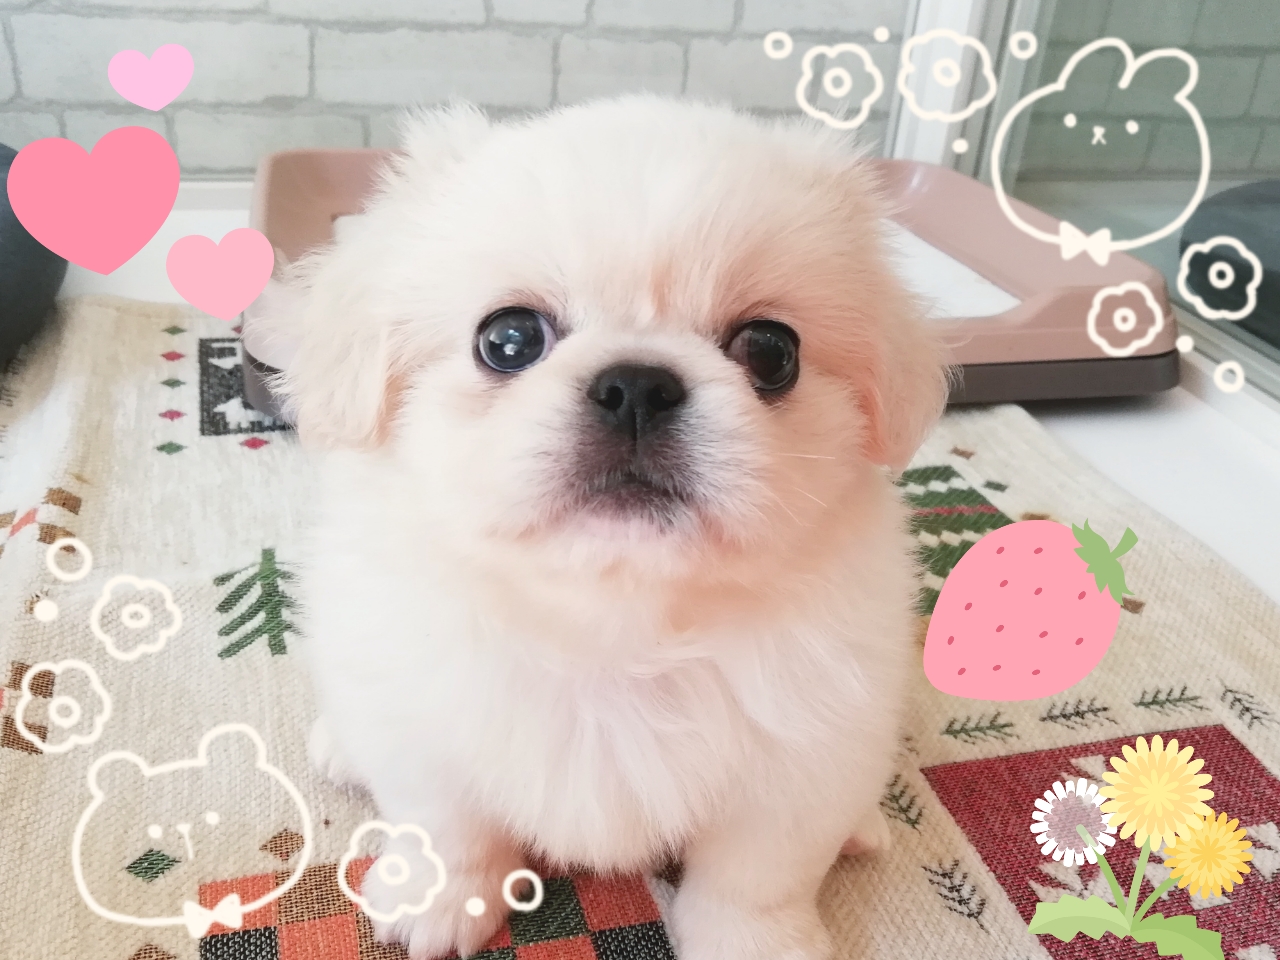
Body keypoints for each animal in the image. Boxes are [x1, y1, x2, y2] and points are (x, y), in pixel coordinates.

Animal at [254, 95, 948, 960]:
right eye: (507, 339)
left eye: (770, 351)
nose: (637, 386)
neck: (616, 625)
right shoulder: (427, 727)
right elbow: (450, 826)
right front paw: (439, 900)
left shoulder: (797, 769)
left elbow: (753, 882)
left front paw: (755, 944)